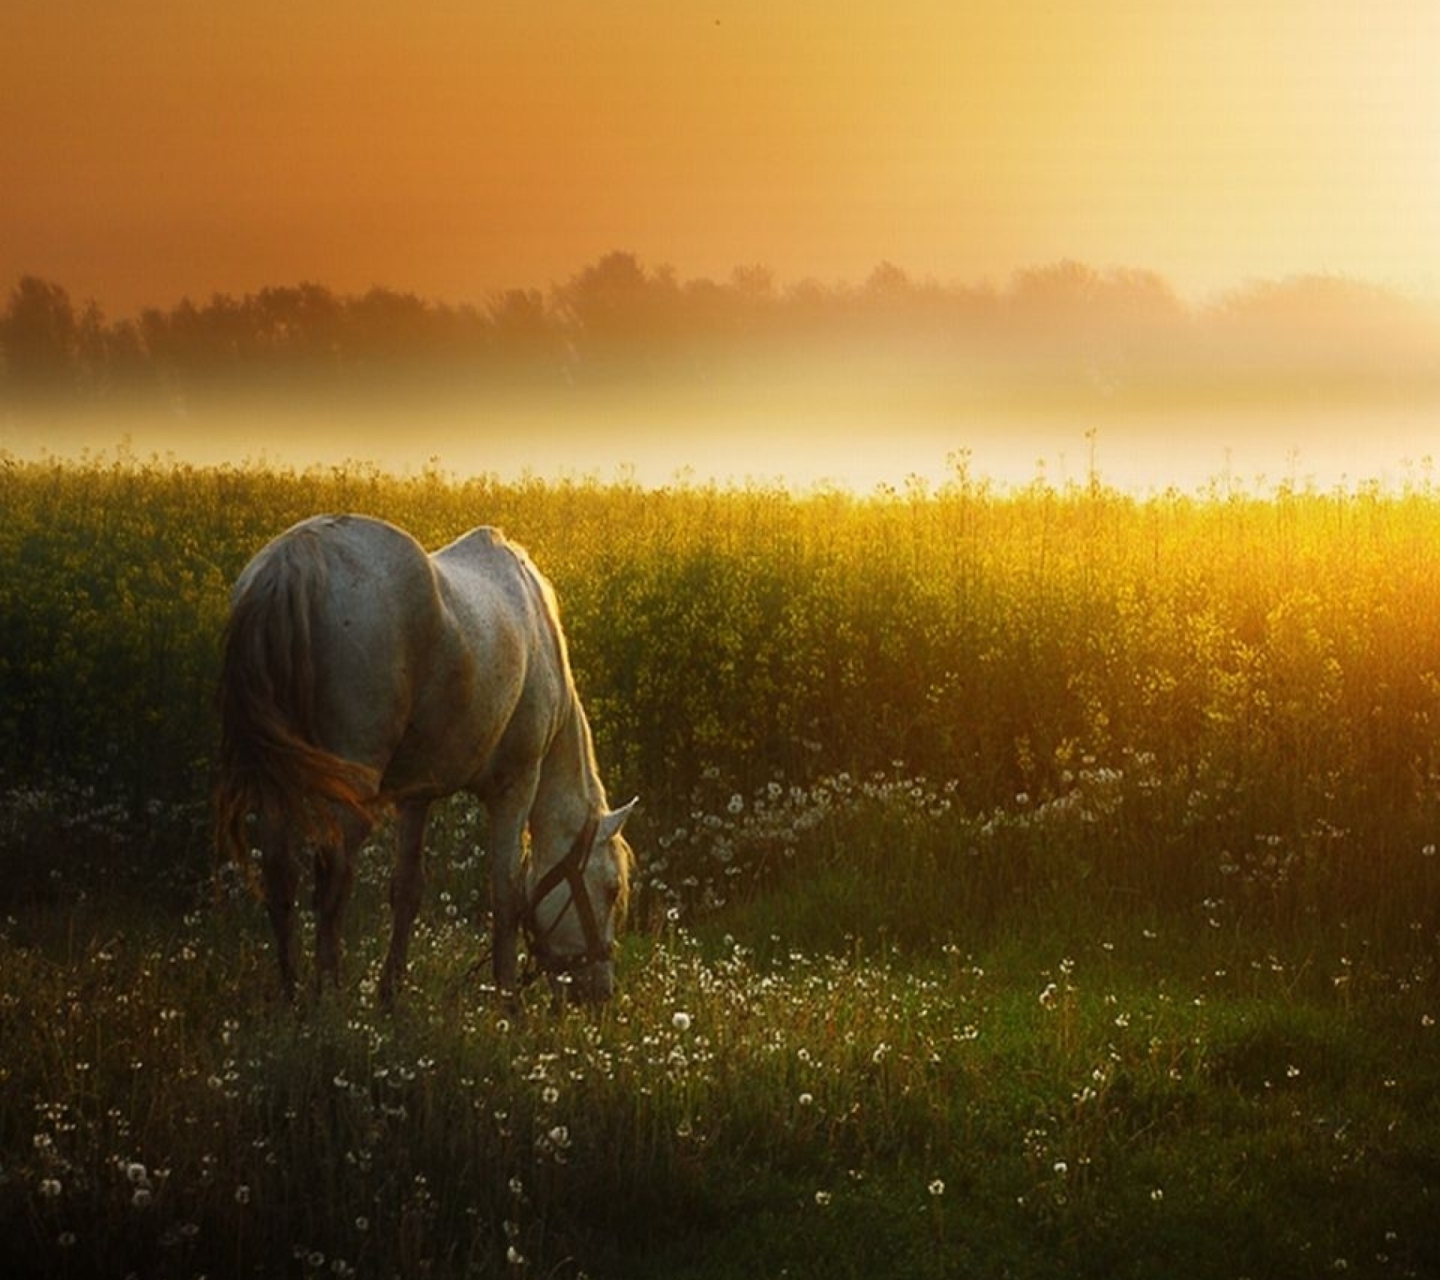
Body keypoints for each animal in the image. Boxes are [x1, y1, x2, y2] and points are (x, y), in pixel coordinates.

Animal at [211, 509, 636, 996]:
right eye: (611, 888)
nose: (600, 991)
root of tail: (295, 558)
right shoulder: (516, 785)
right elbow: (506, 893)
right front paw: (506, 999)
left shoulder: (416, 796)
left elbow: (407, 890)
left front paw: (390, 993)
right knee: (332, 879)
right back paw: (328, 993)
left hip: (278, 784)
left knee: (281, 874)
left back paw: (293, 992)